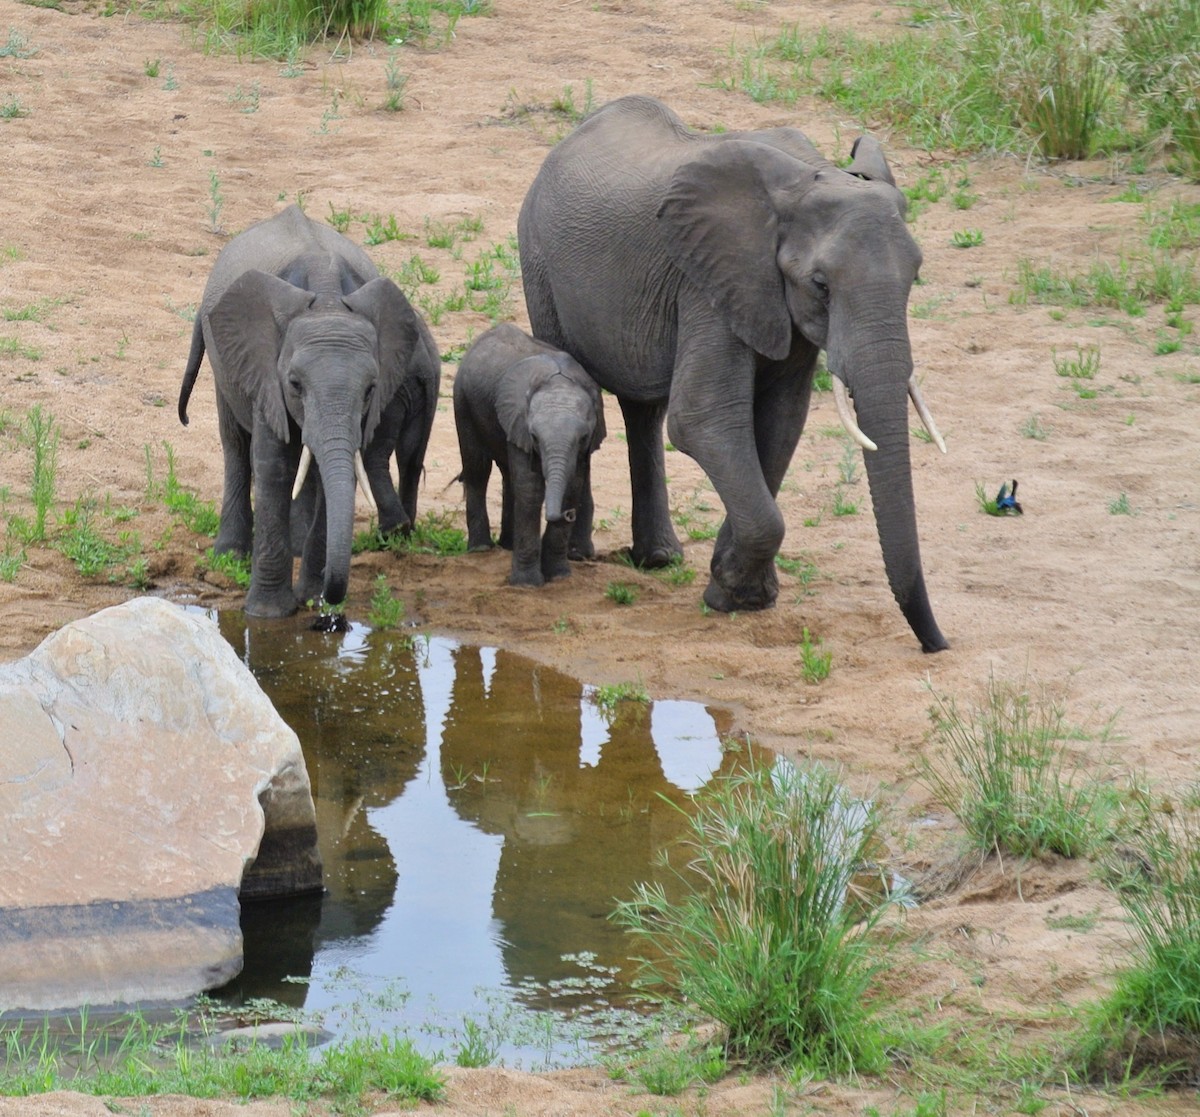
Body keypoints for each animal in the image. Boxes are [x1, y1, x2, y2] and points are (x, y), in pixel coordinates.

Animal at [178, 204, 440, 618]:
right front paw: (268, 613)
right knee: (234, 443)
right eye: (295, 384)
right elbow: (273, 464)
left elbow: (336, 468)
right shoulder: (265, 367)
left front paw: (313, 599)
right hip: (224, 362)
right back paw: (230, 556)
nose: (331, 601)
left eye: (370, 389)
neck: (328, 299)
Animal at [453, 323, 606, 587]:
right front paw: (526, 584)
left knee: (507, 476)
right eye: (535, 436)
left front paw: (558, 576)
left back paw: (507, 545)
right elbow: (530, 489)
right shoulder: (519, 421)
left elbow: (572, 487)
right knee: (478, 470)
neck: (559, 383)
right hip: (462, 400)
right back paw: (481, 549)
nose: (567, 515)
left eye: (583, 438)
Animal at [518, 95, 948, 652]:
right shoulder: (709, 282)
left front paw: (741, 592)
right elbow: (704, 419)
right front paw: (734, 597)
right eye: (821, 285)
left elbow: (781, 422)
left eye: (915, 276)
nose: (936, 645)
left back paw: (659, 559)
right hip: (539, 263)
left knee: (644, 411)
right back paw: (581, 554)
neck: (811, 177)